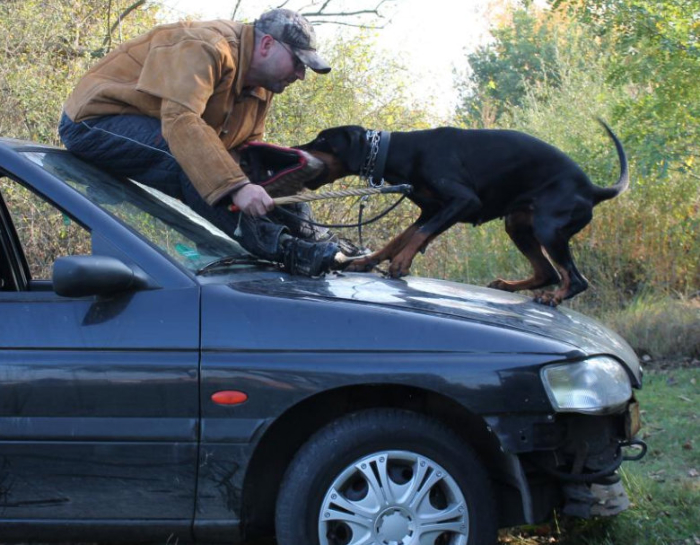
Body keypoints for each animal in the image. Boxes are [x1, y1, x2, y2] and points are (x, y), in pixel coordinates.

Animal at [298, 121, 629, 306]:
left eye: (322, 140)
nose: (295, 147)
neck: (403, 151)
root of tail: (593, 189)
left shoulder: (463, 202)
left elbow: (417, 236)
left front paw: (401, 264)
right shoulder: (431, 210)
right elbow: (399, 239)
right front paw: (365, 262)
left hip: (547, 228)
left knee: (575, 279)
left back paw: (553, 298)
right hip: (517, 225)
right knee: (548, 272)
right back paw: (507, 286)